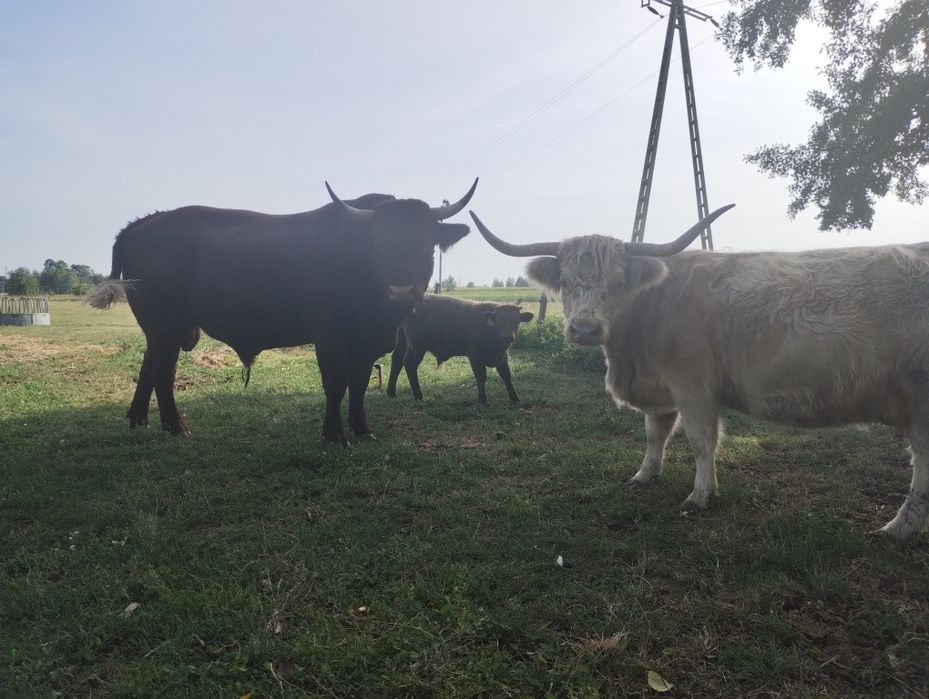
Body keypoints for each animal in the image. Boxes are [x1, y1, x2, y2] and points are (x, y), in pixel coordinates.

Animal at [85, 180, 477, 446]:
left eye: (426, 243)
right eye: (379, 243)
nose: (401, 290)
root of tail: (146, 222)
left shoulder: (365, 344)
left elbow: (360, 384)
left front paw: (362, 428)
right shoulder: (329, 337)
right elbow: (336, 384)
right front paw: (334, 435)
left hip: (162, 329)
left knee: (149, 366)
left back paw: (138, 419)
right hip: (165, 325)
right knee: (163, 372)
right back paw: (175, 426)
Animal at [385, 294, 534, 405]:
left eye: (517, 322)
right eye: (498, 321)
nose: (508, 337)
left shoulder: (502, 357)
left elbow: (506, 376)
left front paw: (515, 398)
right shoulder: (475, 356)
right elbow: (481, 377)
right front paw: (483, 400)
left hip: (402, 341)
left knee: (396, 360)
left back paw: (391, 393)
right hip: (416, 346)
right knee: (409, 364)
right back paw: (418, 396)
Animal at [469, 205, 929, 541]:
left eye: (618, 283)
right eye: (564, 282)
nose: (584, 329)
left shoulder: (694, 389)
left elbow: (700, 441)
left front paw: (700, 496)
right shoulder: (661, 392)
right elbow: (655, 435)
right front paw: (644, 475)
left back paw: (897, 529)